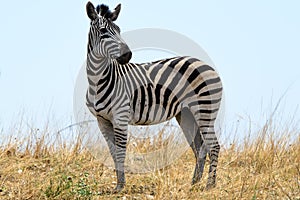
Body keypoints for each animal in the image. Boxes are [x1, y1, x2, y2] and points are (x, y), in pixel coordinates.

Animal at [84, 1, 223, 192]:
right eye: (104, 31)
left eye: (119, 30)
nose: (127, 55)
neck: (98, 80)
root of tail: (206, 64)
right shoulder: (102, 120)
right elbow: (112, 152)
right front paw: (118, 185)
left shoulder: (120, 116)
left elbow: (120, 152)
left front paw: (120, 186)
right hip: (186, 114)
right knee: (199, 147)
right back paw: (194, 184)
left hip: (205, 110)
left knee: (213, 145)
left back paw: (210, 185)